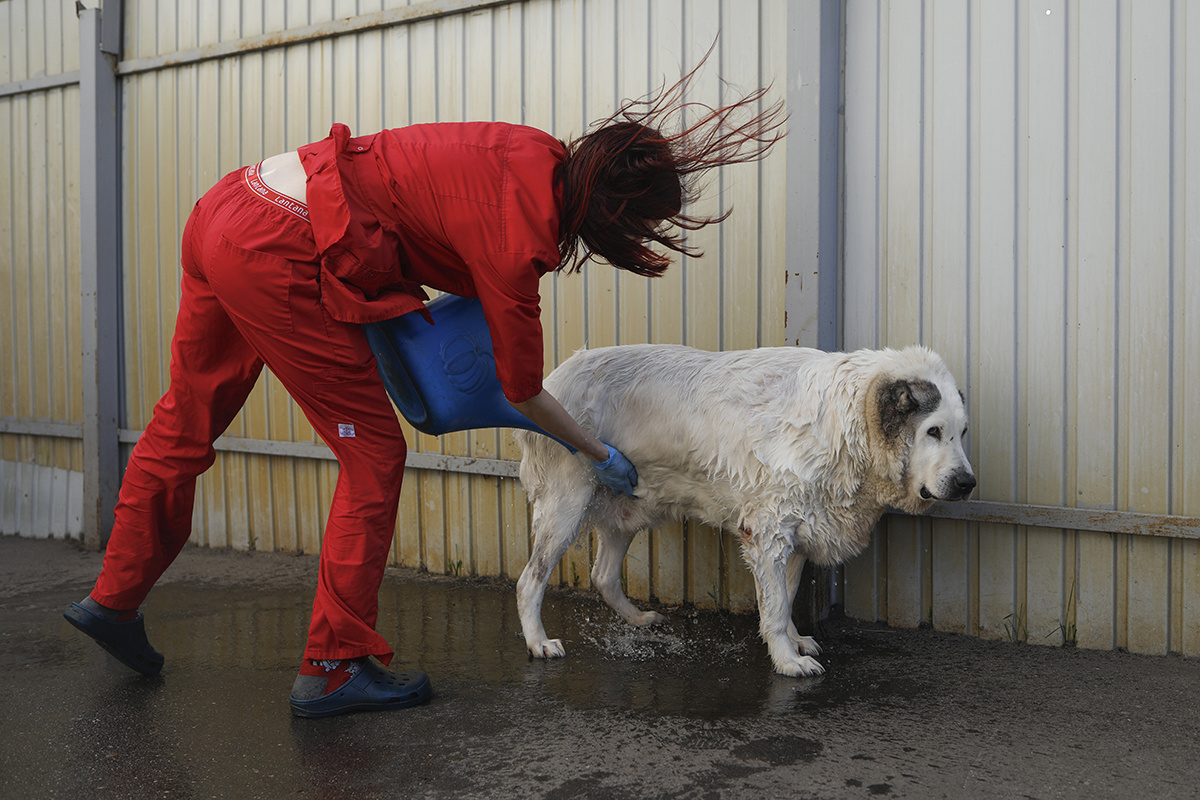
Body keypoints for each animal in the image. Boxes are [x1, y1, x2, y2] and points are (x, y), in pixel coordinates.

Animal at [513, 345, 974, 676]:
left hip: (624, 508)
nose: (967, 483)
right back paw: (538, 642)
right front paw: (787, 660)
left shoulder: (798, 534)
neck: (849, 421)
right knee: (529, 580)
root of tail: (554, 377)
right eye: (933, 431)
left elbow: (785, 597)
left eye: (962, 432)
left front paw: (795, 641)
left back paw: (638, 619)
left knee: (603, 575)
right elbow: (775, 608)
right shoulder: (768, 534)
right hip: (565, 508)